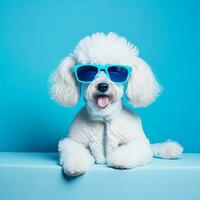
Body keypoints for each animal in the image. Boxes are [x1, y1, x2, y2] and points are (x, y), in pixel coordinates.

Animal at [49, 32, 183, 176]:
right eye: (88, 70)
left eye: (117, 70)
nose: (103, 86)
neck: (103, 117)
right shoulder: (72, 142)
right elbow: (74, 151)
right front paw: (75, 165)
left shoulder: (139, 143)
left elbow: (129, 150)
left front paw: (119, 160)